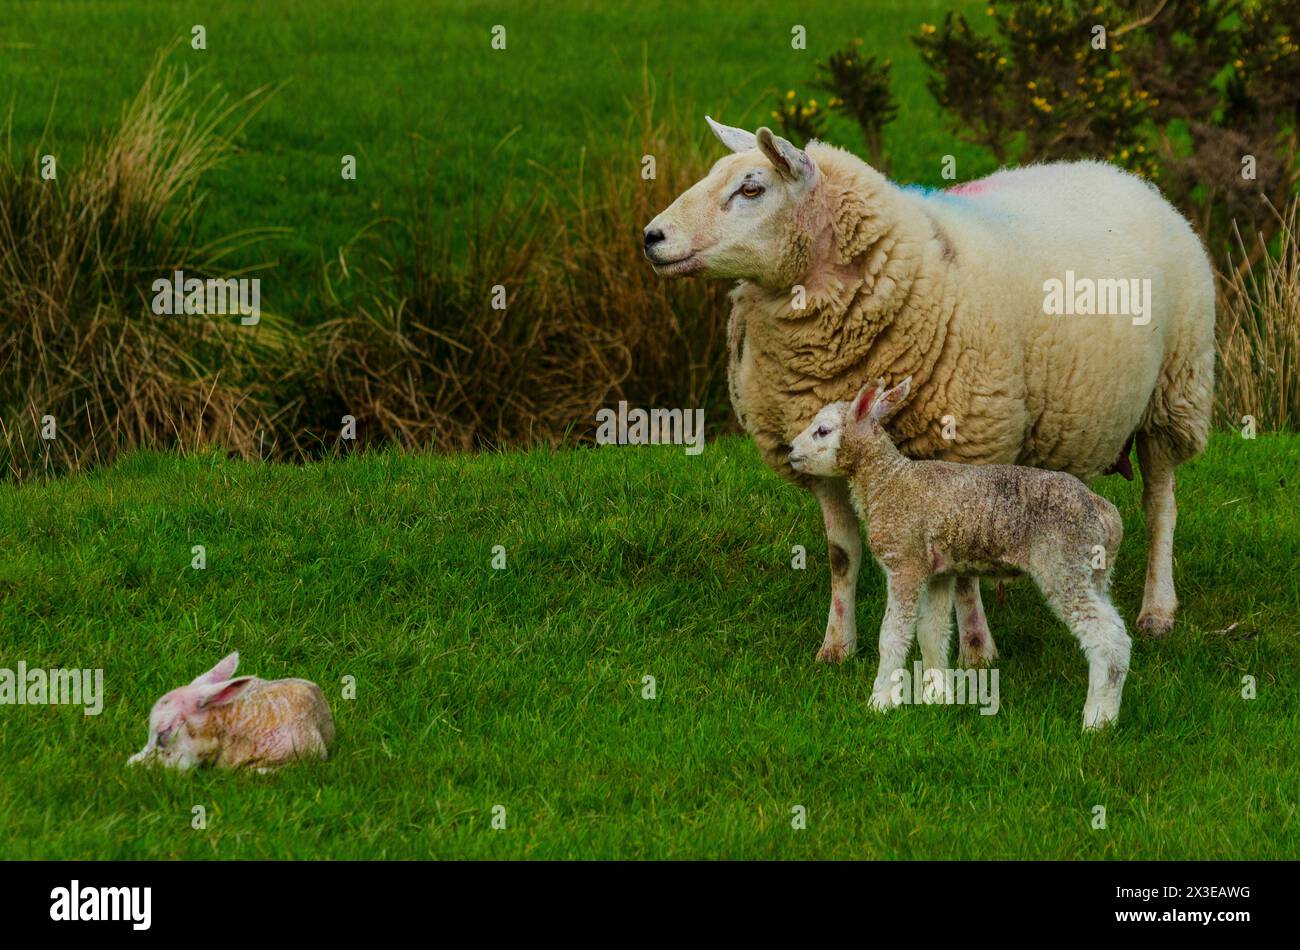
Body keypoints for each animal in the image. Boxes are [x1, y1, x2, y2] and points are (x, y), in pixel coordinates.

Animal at [643, 117, 1213, 665]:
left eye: (751, 188)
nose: (651, 236)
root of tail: (1118, 173)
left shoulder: (967, 445)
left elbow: (960, 572)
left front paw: (977, 652)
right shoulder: (818, 457)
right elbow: (841, 555)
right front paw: (836, 647)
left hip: (1174, 395)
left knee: (1160, 505)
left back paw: (1158, 610)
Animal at [789, 377, 1131, 730]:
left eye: (823, 431)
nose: (790, 451)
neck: (887, 481)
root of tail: (1103, 512)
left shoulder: (905, 563)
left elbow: (893, 635)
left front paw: (880, 701)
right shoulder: (938, 571)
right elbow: (931, 632)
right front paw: (936, 695)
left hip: (1063, 561)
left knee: (1106, 638)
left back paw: (1096, 720)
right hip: (1094, 570)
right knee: (1118, 629)